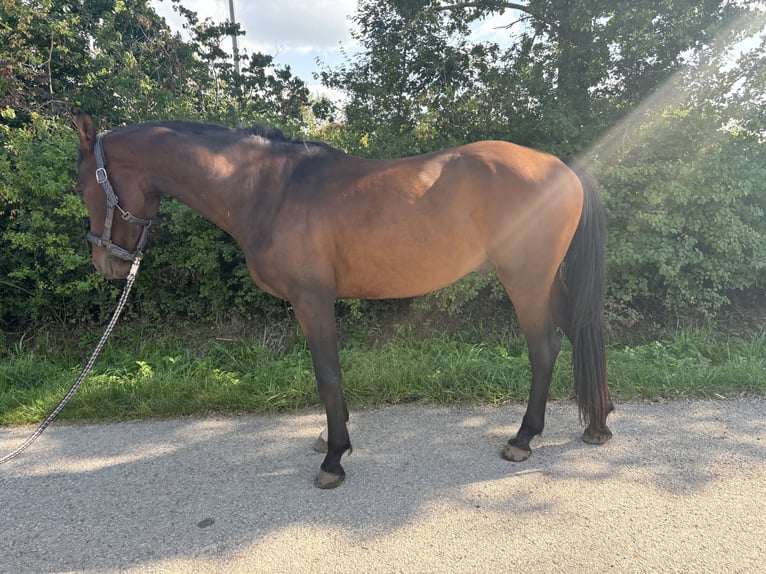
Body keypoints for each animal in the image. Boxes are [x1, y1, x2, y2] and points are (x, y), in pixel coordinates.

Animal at [70, 111, 612, 490]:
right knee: (580, 332)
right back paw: (599, 423)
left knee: (545, 348)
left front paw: (334, 459)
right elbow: (331, 376)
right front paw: (331, 439)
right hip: (547, 280)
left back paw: (524, 438)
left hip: (525, 279)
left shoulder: (311, 299)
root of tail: (564, 168)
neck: (269, 189)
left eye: (79, 185)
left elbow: (327, 375)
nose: (107, 264)